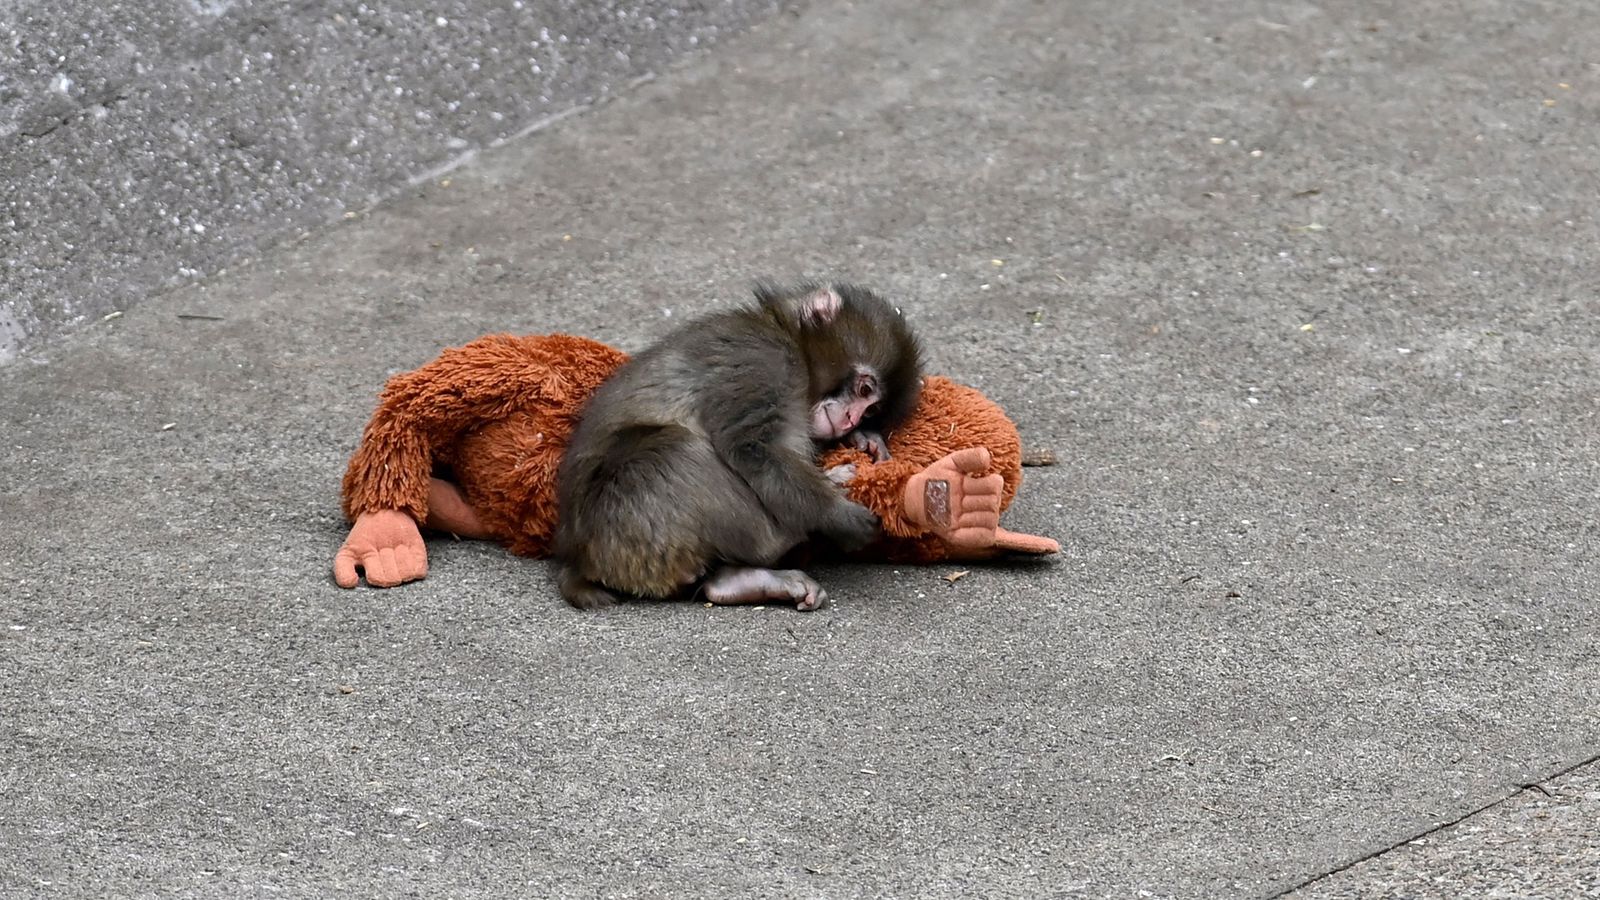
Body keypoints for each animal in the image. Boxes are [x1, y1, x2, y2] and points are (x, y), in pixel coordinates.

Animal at [552, 281, 923, 612]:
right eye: (864, 390)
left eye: (871, 410)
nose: (850, 420)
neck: (789, 339)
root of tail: (577, 558)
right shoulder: (764, 361)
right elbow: (751, 447)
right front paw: (837, 515)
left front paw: (864, 440)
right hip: (624, 523)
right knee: (675, 449)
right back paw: (788, 534)